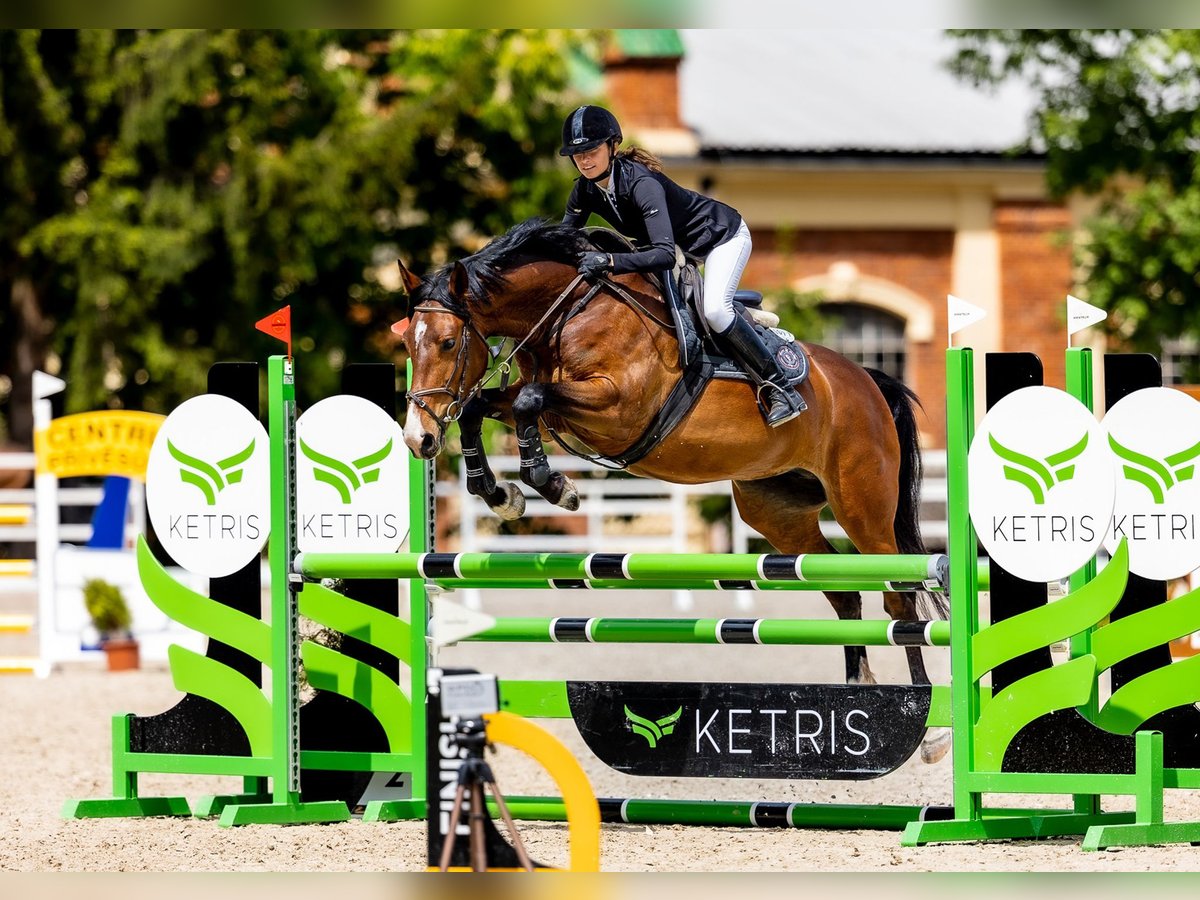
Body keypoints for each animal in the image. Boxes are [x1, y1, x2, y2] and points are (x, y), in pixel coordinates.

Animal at [398, 218, 950, 763]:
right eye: (408, 346)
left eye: (447, 343)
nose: (417, 439)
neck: (569, 312)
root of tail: (868, 381)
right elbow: (483, 406)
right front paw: (499, 494)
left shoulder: (616, 407)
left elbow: (529, 400)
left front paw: (553, 486)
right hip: (777, 513)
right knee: (844, 594)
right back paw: (859, 691)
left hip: (861, 508)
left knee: (900, 602)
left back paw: (930, 732)